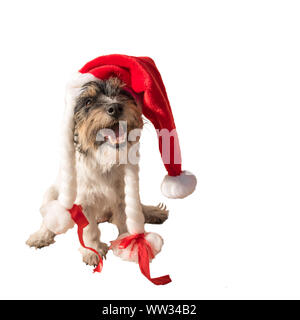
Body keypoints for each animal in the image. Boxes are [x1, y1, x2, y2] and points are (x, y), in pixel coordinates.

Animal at [26, 77, 169, 264]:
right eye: (88, 101)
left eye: (121, 93)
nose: (115, 107)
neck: (104, 158)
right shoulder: (84, 201)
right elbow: (90, 229)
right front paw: (92, 250)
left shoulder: (122, 195)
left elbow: (127, 217)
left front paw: (129, 242)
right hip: (51, 193)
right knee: (50, 218)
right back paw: (41, 235)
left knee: (138, 206)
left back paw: (151, 211)